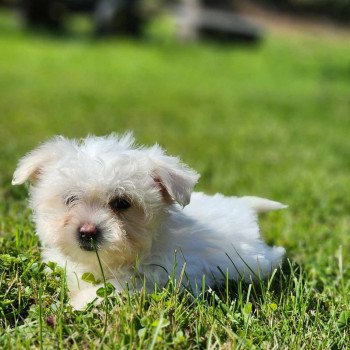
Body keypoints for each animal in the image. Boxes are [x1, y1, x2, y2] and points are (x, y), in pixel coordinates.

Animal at [13, 134, 288, 308]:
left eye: (121, 203)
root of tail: (241, 207)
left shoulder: (157, 275)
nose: (87, 231)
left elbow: (116, 287)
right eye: (70, 199)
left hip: (252, 262)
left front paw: (82, 301)